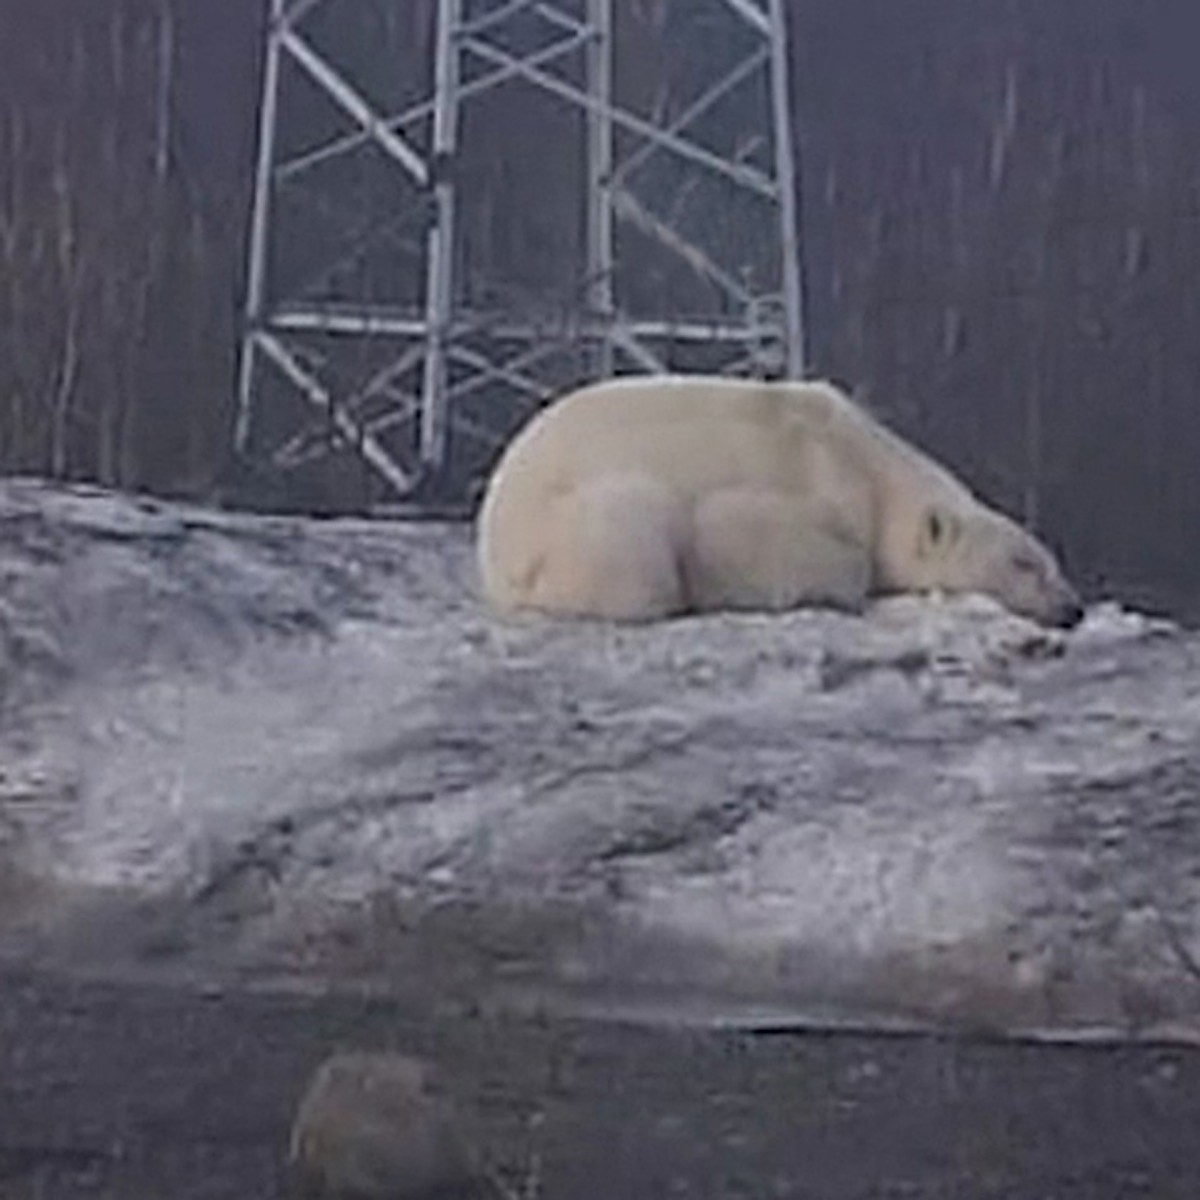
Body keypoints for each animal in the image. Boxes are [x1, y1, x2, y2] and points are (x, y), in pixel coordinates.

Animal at [477, 374, 1089, 628]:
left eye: (1050, 558)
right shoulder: (811, 472)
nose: (1073, 608)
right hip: (573, 525)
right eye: (1023, 563)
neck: (868, 463)